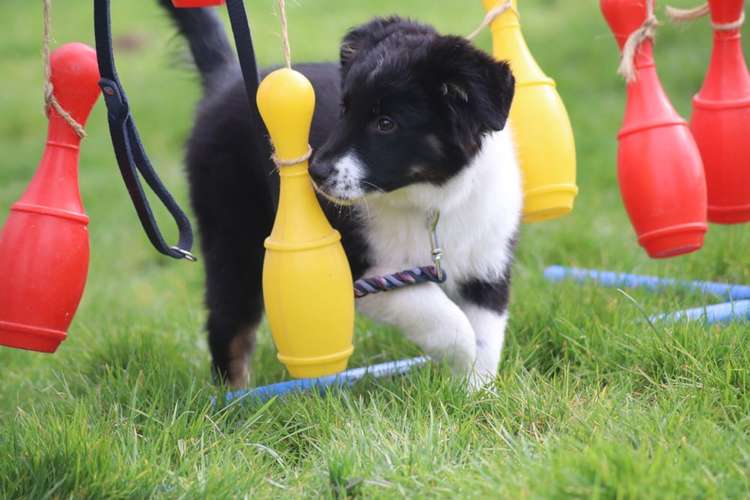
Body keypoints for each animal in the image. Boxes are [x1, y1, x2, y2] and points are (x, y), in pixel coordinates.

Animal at [159, 3, 524, 390]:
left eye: (386, 123)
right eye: (345, 110)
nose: (315, 173)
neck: (431, 200)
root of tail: (226, 79)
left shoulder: (487, 263)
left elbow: (486, 335)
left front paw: (475, 392)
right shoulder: (361, 271)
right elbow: (448, 321)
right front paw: (462, 366)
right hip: (233, 233)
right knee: (229, 324)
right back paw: (235, 397)